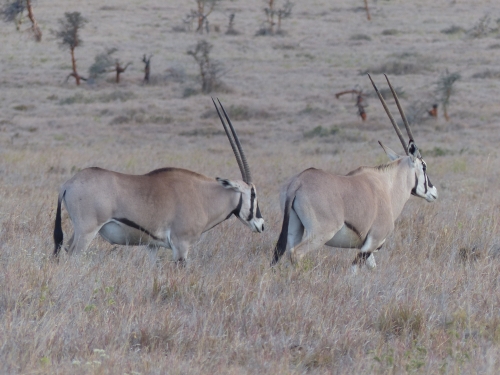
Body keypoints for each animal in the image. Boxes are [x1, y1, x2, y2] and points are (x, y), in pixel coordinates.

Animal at [53, 100, 266, 264]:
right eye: (253, 194)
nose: (261, 225)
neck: (203, 197)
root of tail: (67, 185)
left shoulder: (152, 246)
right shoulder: (181, 246)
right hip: (87, 230)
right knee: (73, 255)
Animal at [272, 75, 440, 272]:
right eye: (424, 166)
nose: (434, 192)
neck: (388, 186)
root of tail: (297, 182)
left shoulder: (368, 248)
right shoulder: (372, 242)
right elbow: (353, 270)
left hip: (294, 228)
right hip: (320, 233)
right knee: (296, 253)